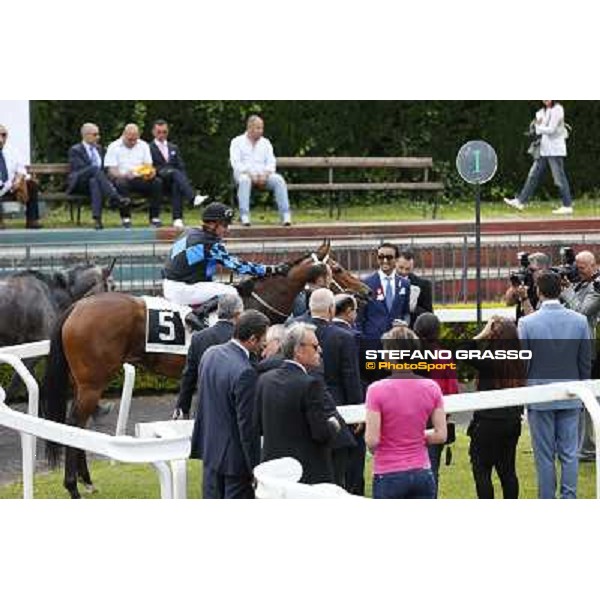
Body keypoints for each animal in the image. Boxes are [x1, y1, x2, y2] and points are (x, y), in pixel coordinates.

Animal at [39, 239, 368, 496]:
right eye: (338, 269)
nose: (364, 291)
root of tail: (78, 305)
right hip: (93, 381)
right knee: (75, 421)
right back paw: (73, 486)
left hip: (80, 381)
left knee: (75, 426)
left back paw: (85, 481)